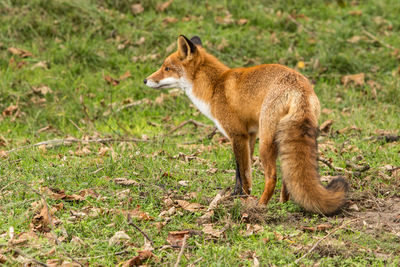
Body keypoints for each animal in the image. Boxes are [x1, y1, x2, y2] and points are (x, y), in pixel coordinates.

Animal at [143, 35, 346, 216]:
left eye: (167, 68)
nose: (145, 80)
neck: (215, 87)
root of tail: (299, 88)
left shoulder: (237, 134)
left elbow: (242, 173)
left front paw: (241, 198)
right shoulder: (250, 135)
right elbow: (242, 173)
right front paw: (236, 196)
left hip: (266, 142)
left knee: (272, 177)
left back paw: (262, 205)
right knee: (288, 176)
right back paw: (283, 204)